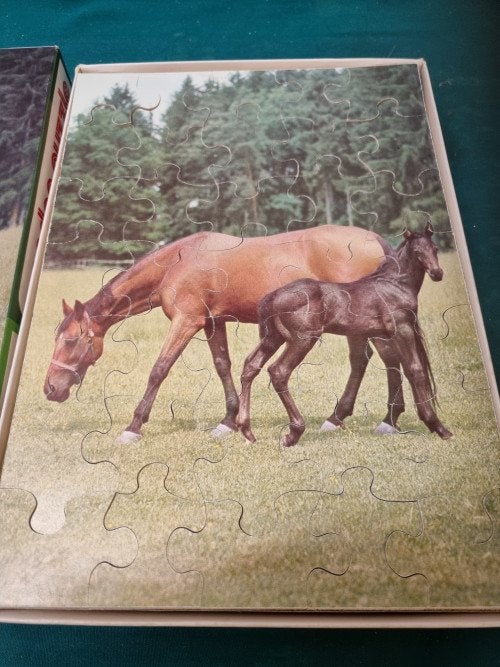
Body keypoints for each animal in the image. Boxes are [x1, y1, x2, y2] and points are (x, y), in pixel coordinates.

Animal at [44, 224, 402, 443]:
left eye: (71, 339)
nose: (50, 389)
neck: (177, 263)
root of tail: (376, 240)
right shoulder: (212, 322)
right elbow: (223, 366)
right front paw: (228, 422)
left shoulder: (186, 321)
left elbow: (159, 369)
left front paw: (133, 427)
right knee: (367, 360)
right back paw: (348, 417)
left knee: (381, 359)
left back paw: (380, 418)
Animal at [236, 222, 453, 447]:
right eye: (417, 252)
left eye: (435, 249)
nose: (437, 273)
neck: (395, 284)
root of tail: (272, 296)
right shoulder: (403, 329)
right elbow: (415, 369)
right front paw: (438, 426)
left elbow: (399, 366)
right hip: (302, 340)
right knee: (278, 371)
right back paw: (294, 433)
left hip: (273, 338)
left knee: (251, 365)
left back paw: (247, 430)